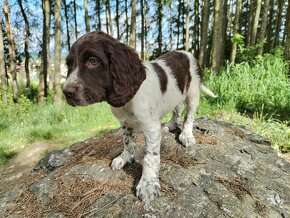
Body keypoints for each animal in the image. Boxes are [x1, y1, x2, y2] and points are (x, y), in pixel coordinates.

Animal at [64, 31, 218, 204]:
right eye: (69, 64)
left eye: (93, 61)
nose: (66, 92)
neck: (129, 99)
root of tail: (186, 53)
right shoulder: (125, 123)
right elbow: (127, 142)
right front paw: (124, 158)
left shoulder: (151, 128)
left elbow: (150, 157)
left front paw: (147, 184)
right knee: (177, 109)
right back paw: (171, 125)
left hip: (193, 92)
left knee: (189, 115)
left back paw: (186, 135)